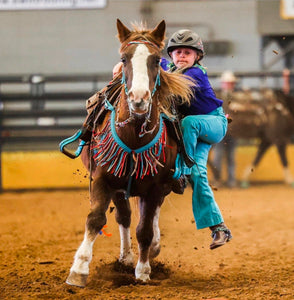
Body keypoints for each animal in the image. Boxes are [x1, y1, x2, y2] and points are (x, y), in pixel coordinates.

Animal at [65, 19, 193, 288]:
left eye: (156, 60)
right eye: (124, 59)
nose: (139, 99)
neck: (134, 135)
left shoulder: (156, 186)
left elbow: (144, 229)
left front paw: (143, 270)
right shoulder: (102, 179)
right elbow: (95, 219)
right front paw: (78, 270)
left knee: (150, 216)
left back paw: (151, 248)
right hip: (119, 187)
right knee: (123, 217)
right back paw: (125, 257)